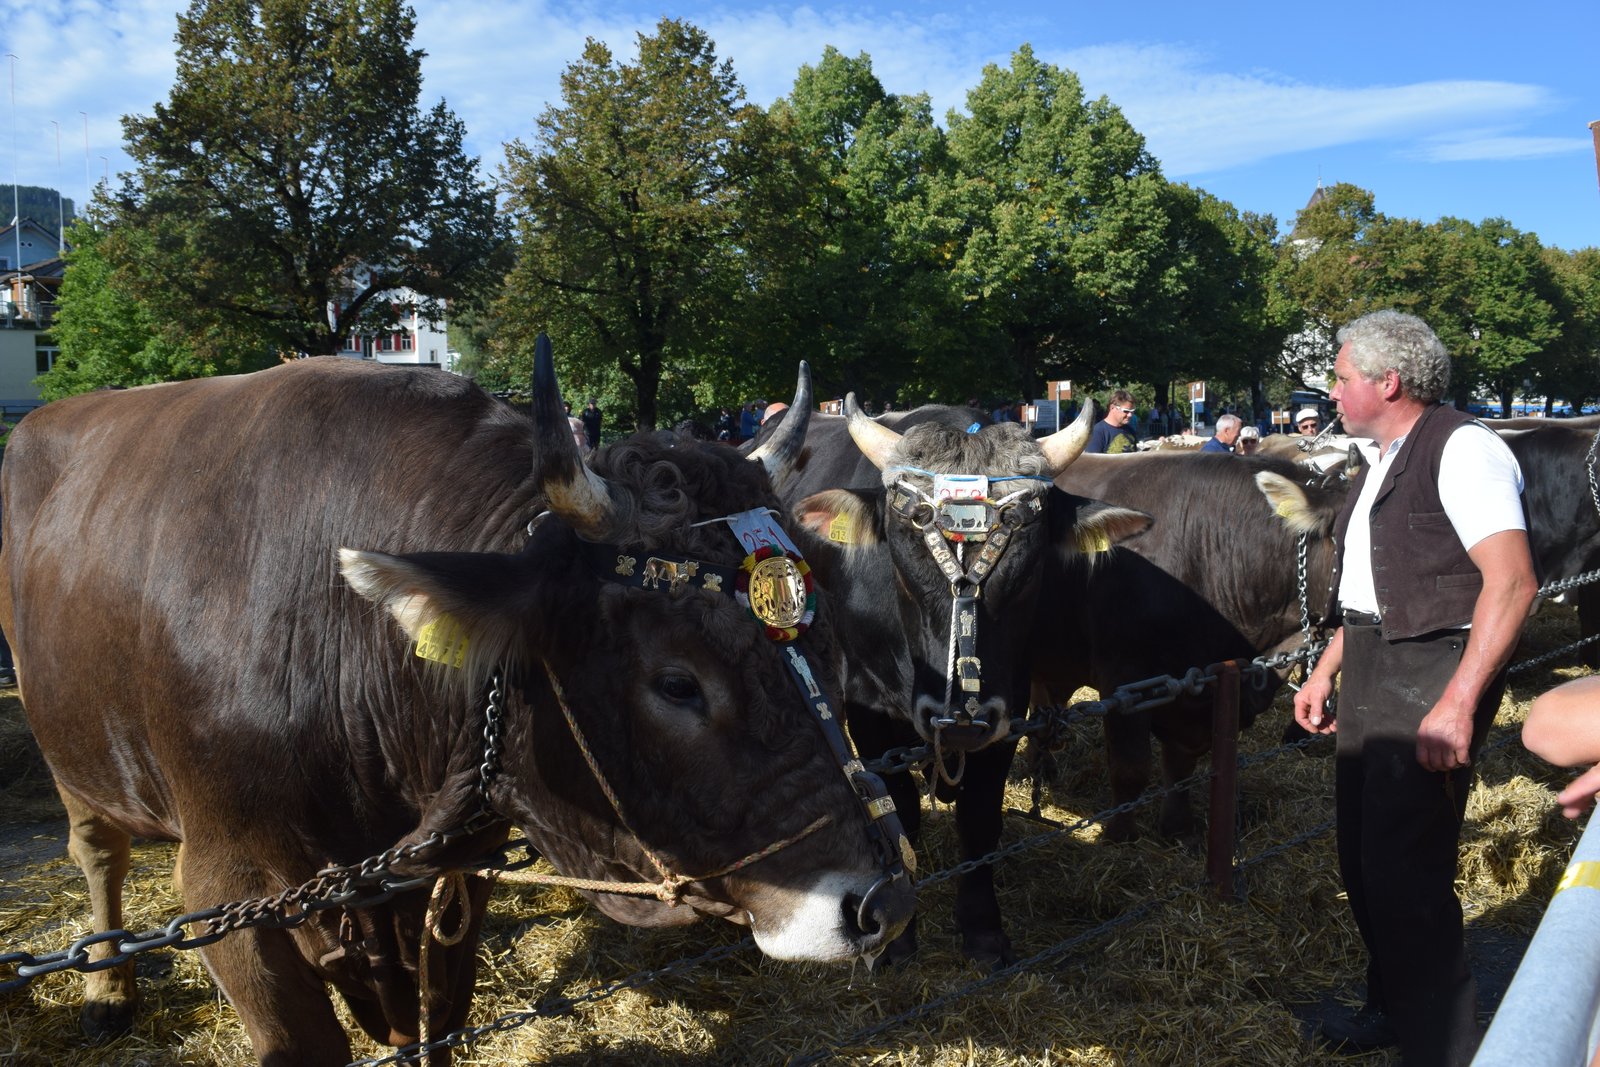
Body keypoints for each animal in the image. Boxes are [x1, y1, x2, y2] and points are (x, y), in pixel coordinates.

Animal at [0, 346, 914, 1066]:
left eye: (826, 641)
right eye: (677, 681)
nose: (880, 902)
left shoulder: (444, 879)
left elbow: (432, 1023)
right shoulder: (228, 887)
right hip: (72, 750)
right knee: (99, 851)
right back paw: (108, 986)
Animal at [758, 399, 1150, 965]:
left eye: (1029, 558)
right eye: (903, 546)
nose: (957, 718)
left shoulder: (1006, 710)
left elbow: (981, 817)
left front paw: (983, 929)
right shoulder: (868, 708)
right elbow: (901, 810)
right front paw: (901, 940)